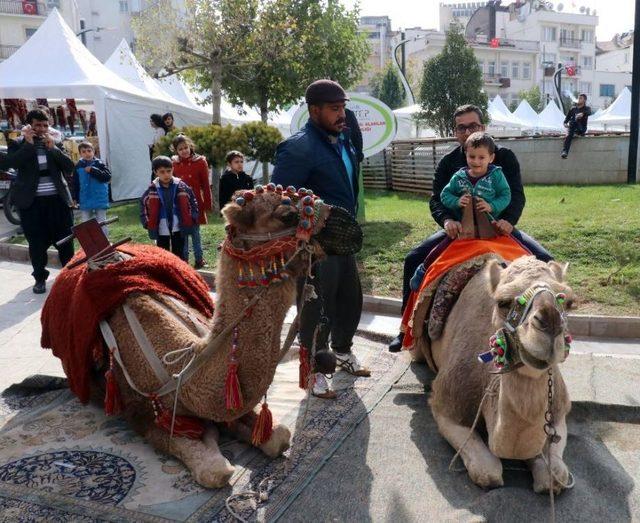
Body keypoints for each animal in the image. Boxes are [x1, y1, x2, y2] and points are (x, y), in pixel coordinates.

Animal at [48, 185, 360, 492]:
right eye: (288, 215)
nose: (350, 224)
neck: (181, 367)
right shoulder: (142, 414)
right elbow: (214, 471)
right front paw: (211, 438)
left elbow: (278, 437)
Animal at [416, 258, 576, 496]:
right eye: (503, 302)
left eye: (568, 302)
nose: (550, 321)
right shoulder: (446, 403)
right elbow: (488, 472)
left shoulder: (558, 407)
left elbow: (555, 476)